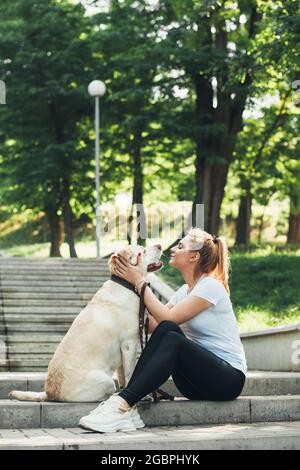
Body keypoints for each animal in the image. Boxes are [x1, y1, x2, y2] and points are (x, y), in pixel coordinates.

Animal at [8, 244, 162, 402]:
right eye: (143, 251)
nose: (160, 245)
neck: (125, 285)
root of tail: (49, 393)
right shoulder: (129, 344)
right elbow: (130, 372)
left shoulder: (124, 349)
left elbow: (123, 375)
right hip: (106, 381)